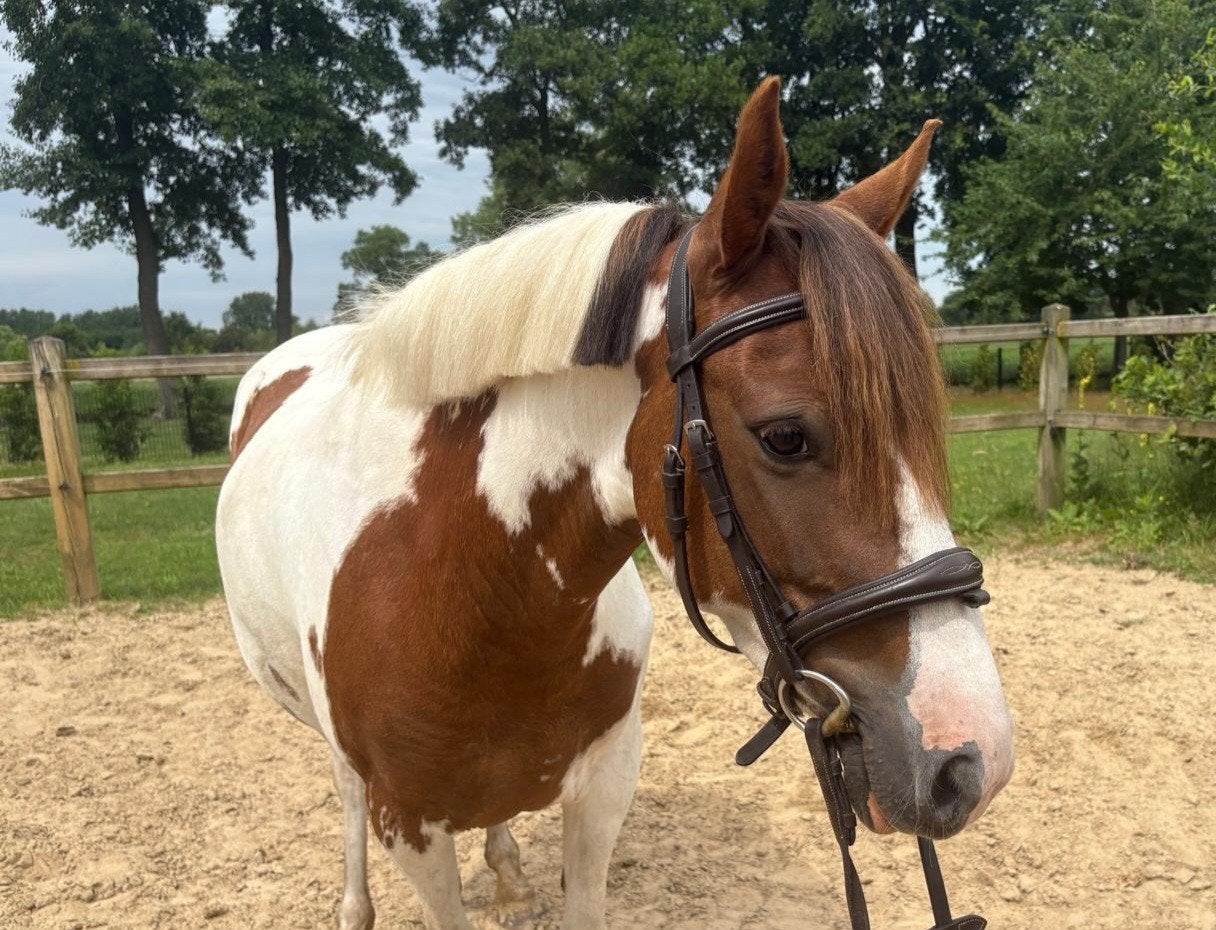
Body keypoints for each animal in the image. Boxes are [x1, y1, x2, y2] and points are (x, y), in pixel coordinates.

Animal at [216, 76, 1014, 930]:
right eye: (786, 436)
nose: (973, 762)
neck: (468, 594)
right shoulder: (409, 826)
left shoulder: (604, 782)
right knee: (344, 792)